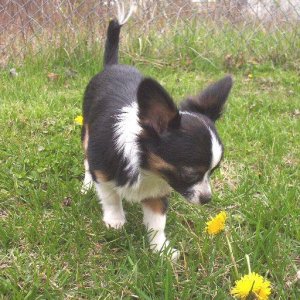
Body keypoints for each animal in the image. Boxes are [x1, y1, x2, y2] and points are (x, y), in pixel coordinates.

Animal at [81, 7, 233, 260]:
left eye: (213, 171)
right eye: (190, 173)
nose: (207, 199)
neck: (148, 169)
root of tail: (112, 65)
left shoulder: (159, 191)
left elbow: (156, 222)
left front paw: (160, 249)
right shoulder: (103, 172)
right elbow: (110, 196)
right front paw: (115, 220)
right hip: (86, 132)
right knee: (86, 160)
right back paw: (86, 184)